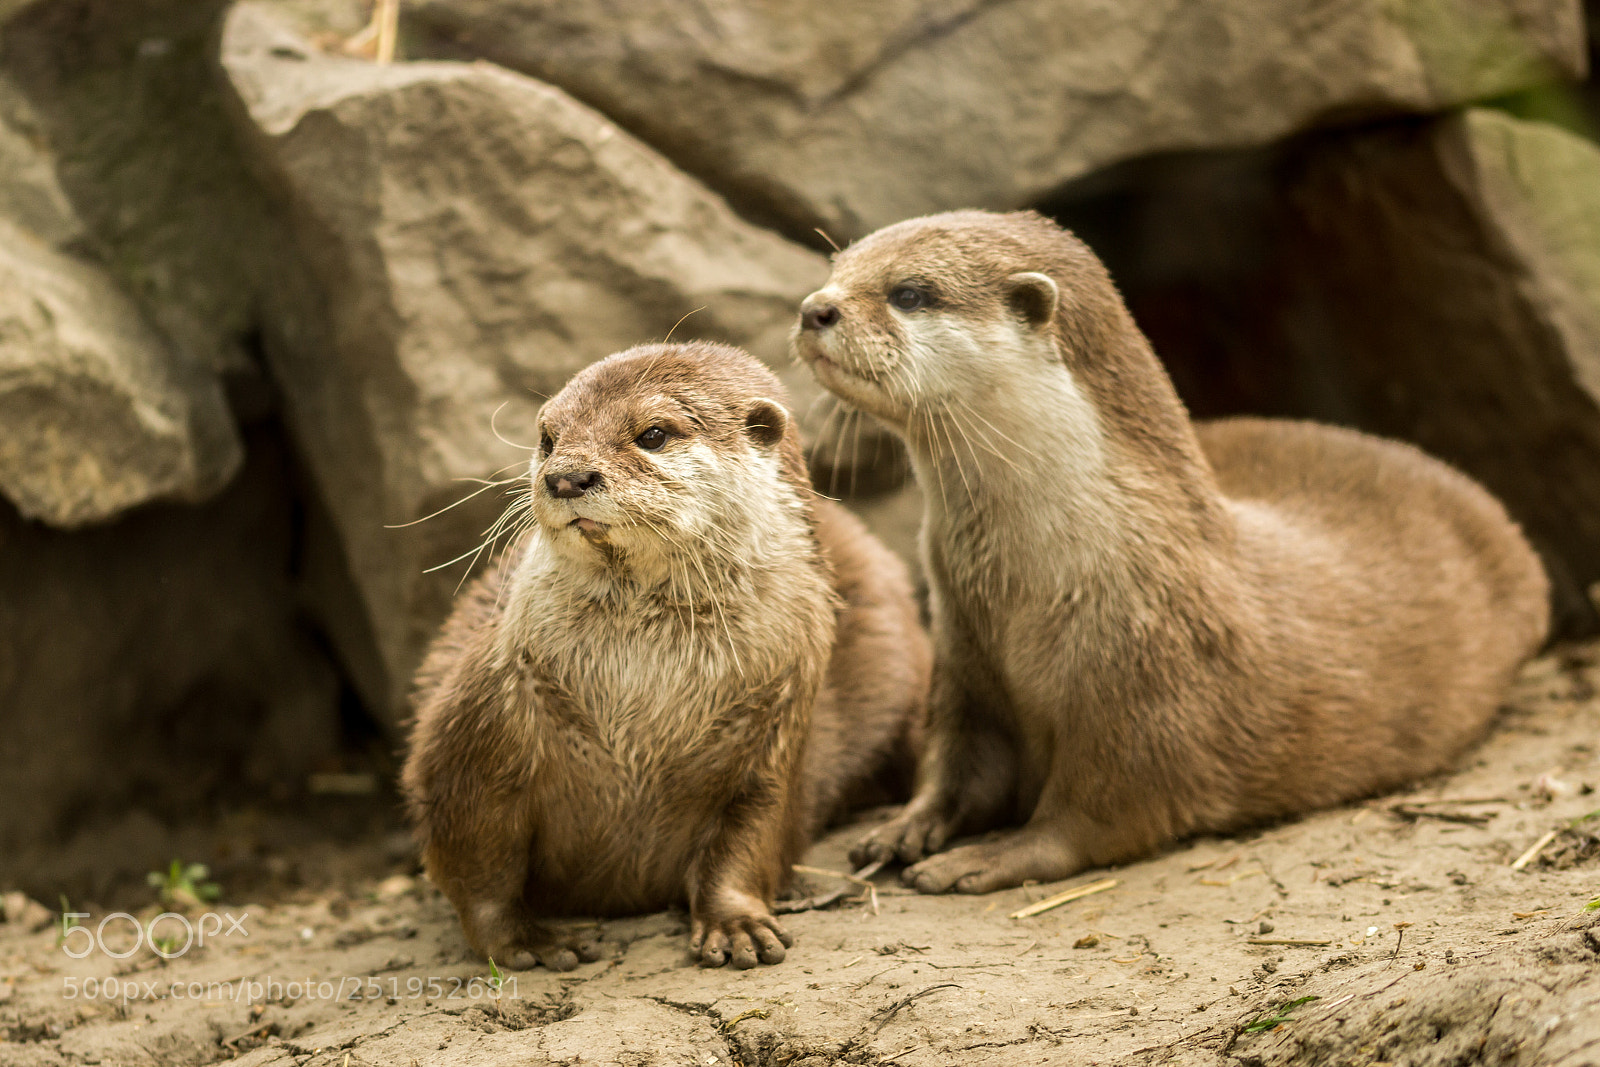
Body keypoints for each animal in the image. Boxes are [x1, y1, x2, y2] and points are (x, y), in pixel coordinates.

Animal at [402, 341, 928, 968]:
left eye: (652, 433)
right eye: (548, 438)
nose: (566, 477)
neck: (643, 708)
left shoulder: (777, 724)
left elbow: (752, 833)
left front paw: (736, 923)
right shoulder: (481, 723)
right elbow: (474, 855)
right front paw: (523, 939)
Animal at [792, 210, 1549, 895]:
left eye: (910, 292)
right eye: (837, 267)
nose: (814, 307)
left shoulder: (1148, 688)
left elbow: (1096, 813)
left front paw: (988, 857)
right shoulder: (963, 658)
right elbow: (955, 763)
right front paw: (906, 826)